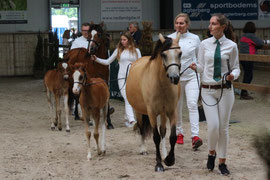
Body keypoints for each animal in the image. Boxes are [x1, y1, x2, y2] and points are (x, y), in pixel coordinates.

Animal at [126, 33, 181, 172]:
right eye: (164, 55)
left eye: (180, 53)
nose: (174, 78)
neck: (161, 84)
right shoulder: (151, 112)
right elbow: (155, 137)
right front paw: (159, 164)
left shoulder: (171, 111)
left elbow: (172, 136)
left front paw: (169, 159)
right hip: (139, 111)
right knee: (141, 128)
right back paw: (143, 149)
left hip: (162, 113)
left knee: (163, 131)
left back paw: (164, 153)